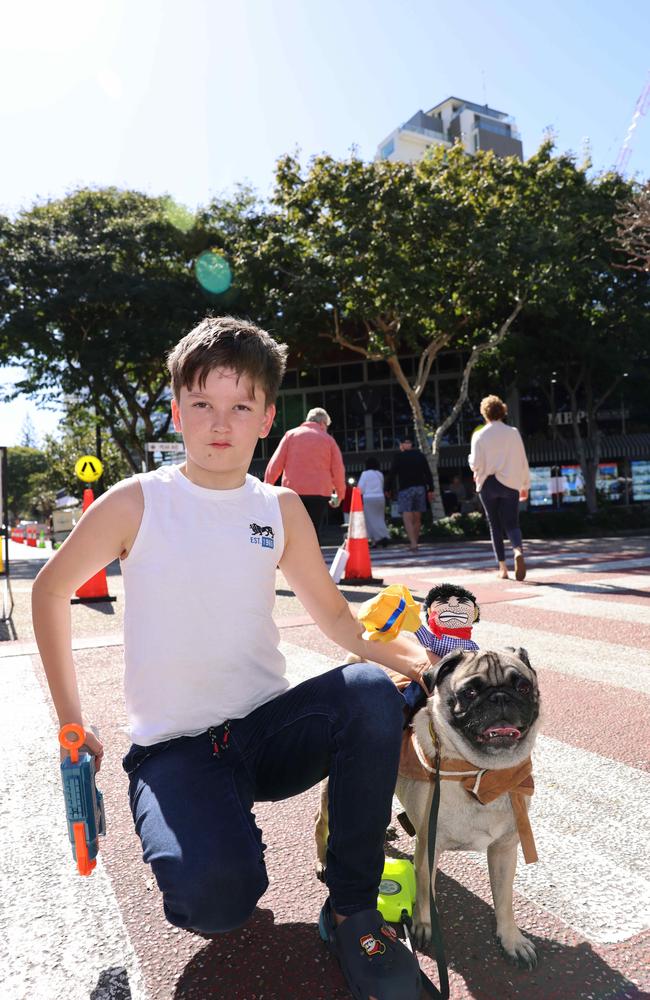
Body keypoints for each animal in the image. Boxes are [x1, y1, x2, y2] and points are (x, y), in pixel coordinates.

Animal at [398, 648, 540, 968]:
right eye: (470, 692)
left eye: (523, 687)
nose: (500, 697)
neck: (482, 774)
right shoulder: (429, 847)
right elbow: (425, 890)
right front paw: (424, 924)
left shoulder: (504, 849)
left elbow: (504, 899)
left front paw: (511, 938)